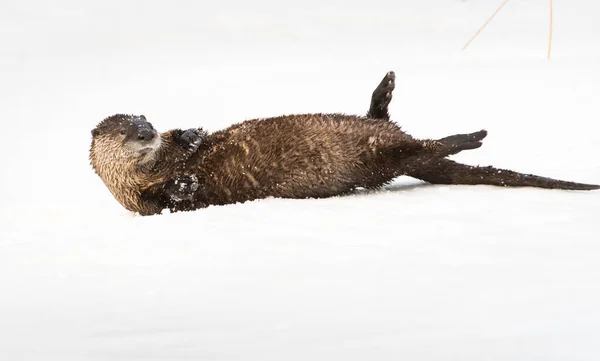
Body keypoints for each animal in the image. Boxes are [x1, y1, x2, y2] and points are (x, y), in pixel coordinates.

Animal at [89, 71, 600, 215]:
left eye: (145, 118)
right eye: (125, 131)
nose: (148, 131)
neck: (157, 166)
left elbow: (191, 140)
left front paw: (192, 136)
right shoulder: (139, 200)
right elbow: (166, 200)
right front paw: (184, 184)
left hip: (381, 138)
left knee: (386, 121)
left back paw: (385, 88)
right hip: (380, 159)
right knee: (425, 149)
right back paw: (472, 137)